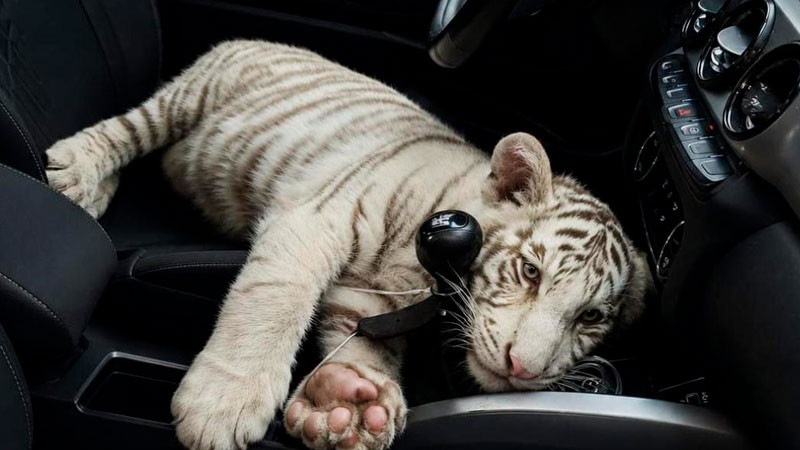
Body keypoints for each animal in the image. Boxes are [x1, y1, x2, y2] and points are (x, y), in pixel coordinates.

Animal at [44, 40, 651, 450]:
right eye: (529, 272)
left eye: (591, 317)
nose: (523, 370)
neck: (423, 274)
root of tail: (261, 39)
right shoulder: (314, 220)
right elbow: (274, 302)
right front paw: (222, 404)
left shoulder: (369, 298)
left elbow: (363, 345)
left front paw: (346, 403)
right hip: (192, 95)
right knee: (130, 127)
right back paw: (76, 173)